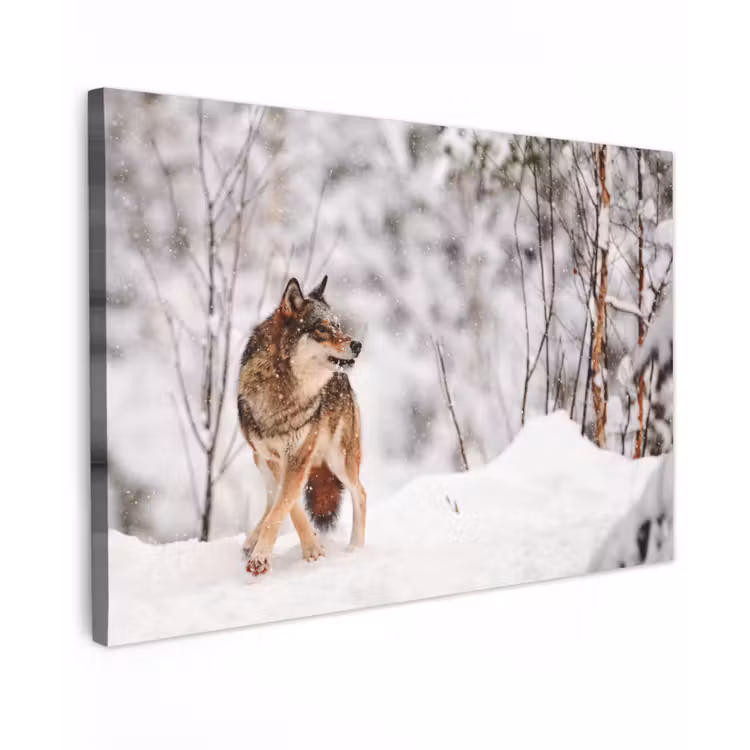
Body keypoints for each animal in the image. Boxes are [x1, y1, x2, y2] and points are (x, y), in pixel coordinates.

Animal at [237, 275, 366, 576]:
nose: (357, 345)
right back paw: (251, 540)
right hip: (259, 460)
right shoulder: (275, 459)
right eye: (322, 328)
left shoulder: (297, 457)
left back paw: (355, 549)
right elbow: (288, 507)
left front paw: (264, 558)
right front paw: (311, 548)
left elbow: (283, 507)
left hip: (340, 460)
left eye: (338, 326)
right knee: (272, 498)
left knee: (361, 494)